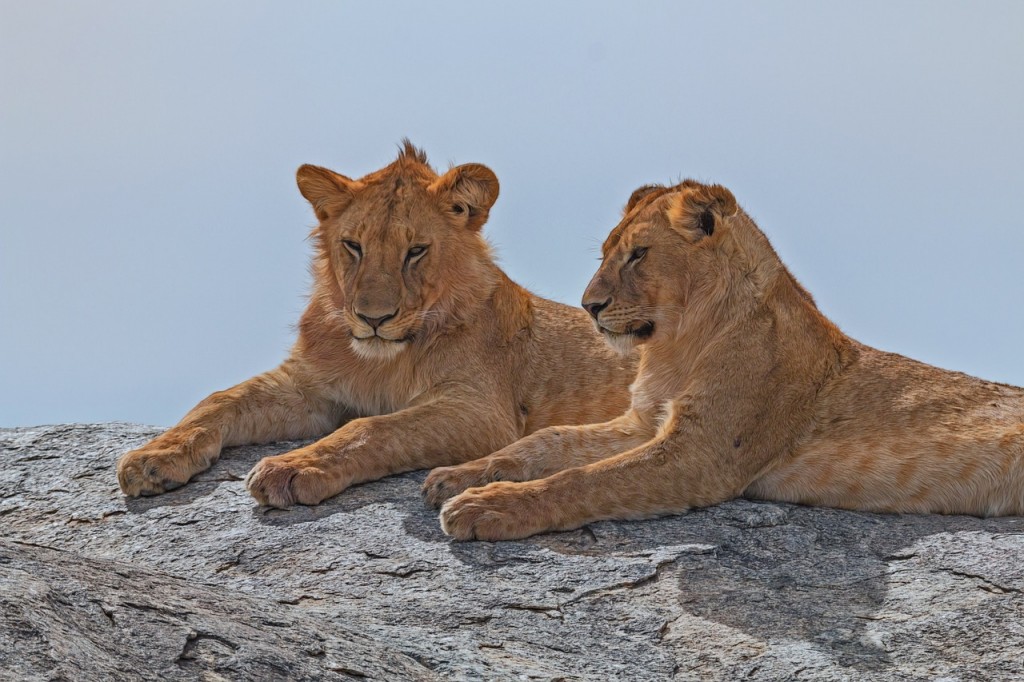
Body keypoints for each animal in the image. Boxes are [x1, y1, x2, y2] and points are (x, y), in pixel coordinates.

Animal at [116, 142, 634, 503]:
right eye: (354, 246)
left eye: (416, 251)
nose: (374, 318)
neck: (380, 360)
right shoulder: (309, 388)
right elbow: (220, 399)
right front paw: (153, 457)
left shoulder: (482, 411)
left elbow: (371, 428)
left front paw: (292, 468)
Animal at [425, 178, 1024, 540]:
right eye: (605, 254)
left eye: (639, 254)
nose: (589, 306)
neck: (677, 345)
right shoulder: (642, 423)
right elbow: (545, 442)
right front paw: (459, 474)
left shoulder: (702, 455)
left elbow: (583, 480)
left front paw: (487, 507)